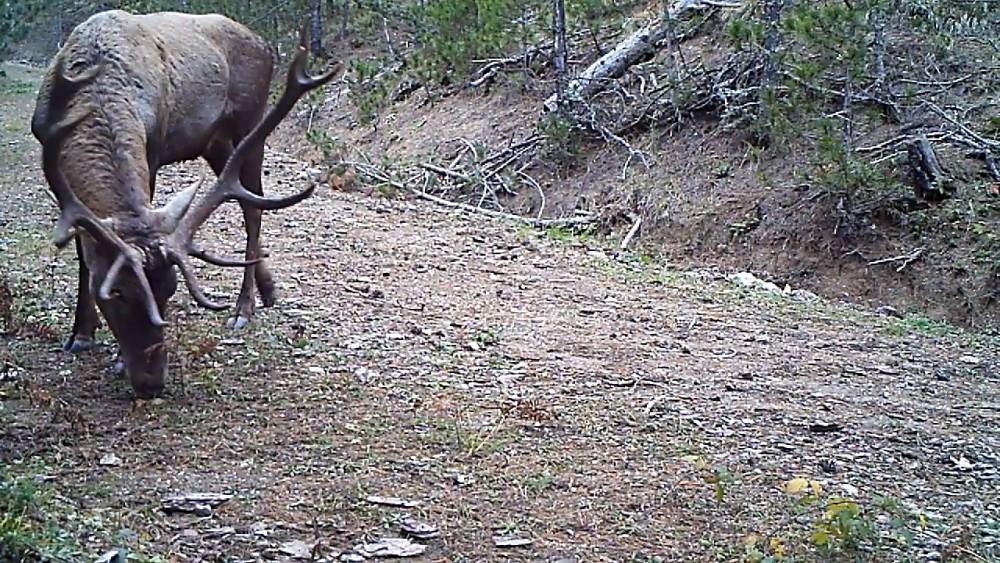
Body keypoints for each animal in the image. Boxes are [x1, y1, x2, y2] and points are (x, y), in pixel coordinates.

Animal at [30, 8, 340, 396]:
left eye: (170, 290)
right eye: (116, 293)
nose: (152, 381)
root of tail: (265, 45)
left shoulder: (152, 151)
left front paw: (113, 356)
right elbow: (84, 250)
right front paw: (81, 334)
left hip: (250, 124)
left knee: (253, 207)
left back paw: (243, 308)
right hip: (215, 143)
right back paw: (268, 289)